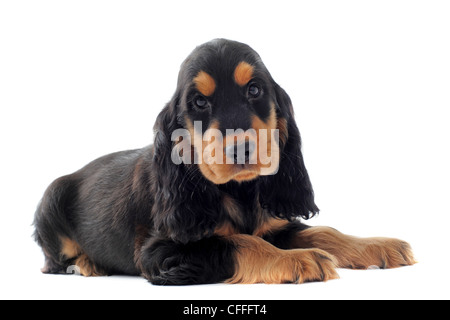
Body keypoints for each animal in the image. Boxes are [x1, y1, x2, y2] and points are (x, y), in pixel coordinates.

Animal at [33, 38, 416, 284]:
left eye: (255, 90)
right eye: (199, 102)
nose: (241, 148)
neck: (237, 191)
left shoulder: (272, 222)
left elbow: (322, 231)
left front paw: (377, 245)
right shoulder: (159, 252)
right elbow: (237, 242)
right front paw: (296, 258)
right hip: (51, 198)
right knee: (52, 262)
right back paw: (86, 264)